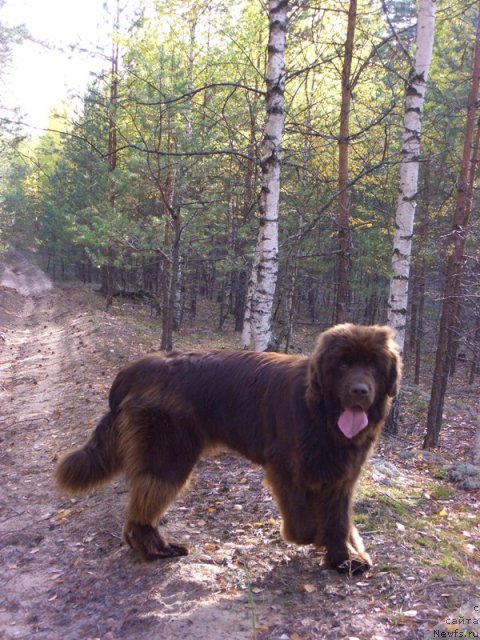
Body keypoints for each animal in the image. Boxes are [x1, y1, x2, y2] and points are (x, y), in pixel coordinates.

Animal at [53, 324, 402, 576]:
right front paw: (317, 540)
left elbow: (338, 520)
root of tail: (133, 370)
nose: (359, 391)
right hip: (168, 454)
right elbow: (304, 524)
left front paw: (343, 559)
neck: (320, 413)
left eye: (373, 366)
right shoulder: (285, 468)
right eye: (342, 365)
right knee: (146, 498)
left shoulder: (342, 476)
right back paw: (157, 548)